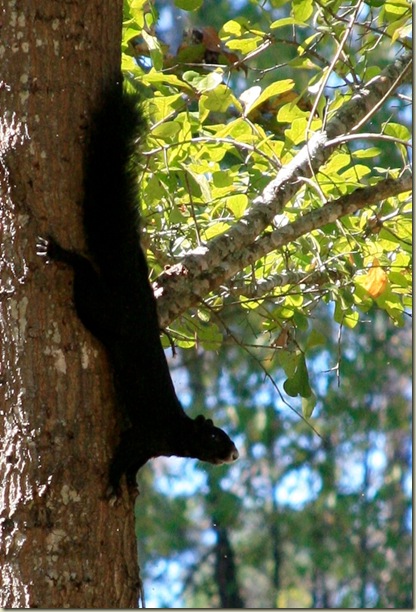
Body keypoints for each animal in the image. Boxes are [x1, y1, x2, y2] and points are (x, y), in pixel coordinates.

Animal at [37, 80, 238, 496]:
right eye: (216, 437)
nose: (234, 453)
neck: (178, 433)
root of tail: (140, 298)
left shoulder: (150, 445)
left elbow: (137, 463)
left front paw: (130, 481)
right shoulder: (148, 435)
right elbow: (125, 452)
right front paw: (115, 479)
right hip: (104, 310)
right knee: (85, 277)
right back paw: (60, 254)